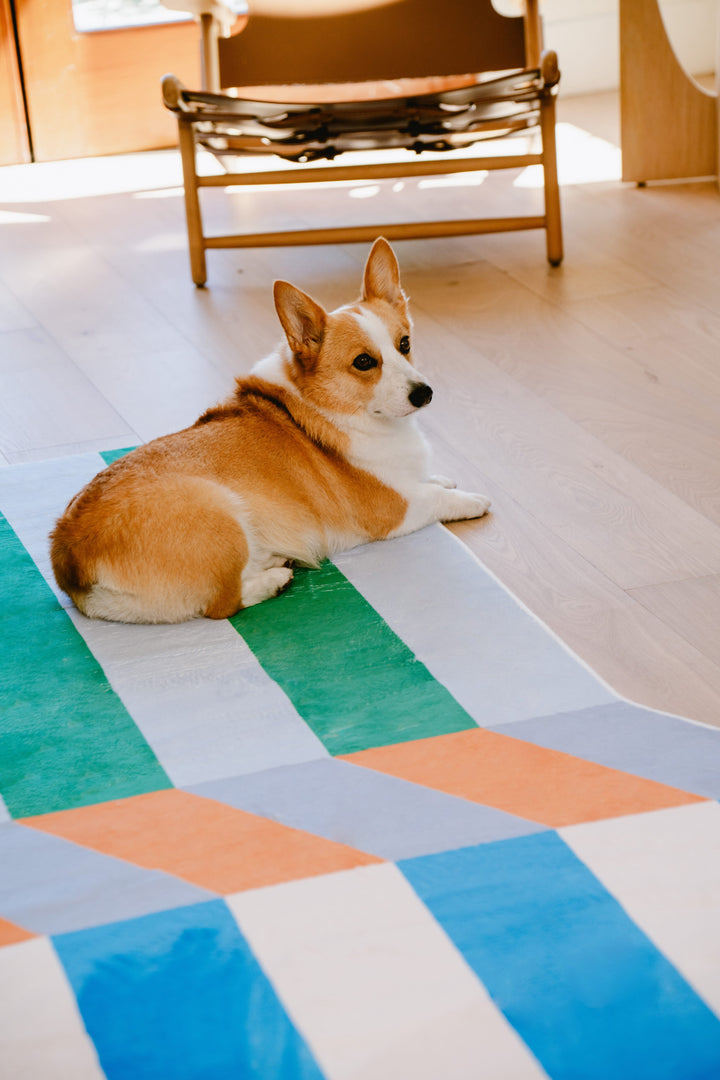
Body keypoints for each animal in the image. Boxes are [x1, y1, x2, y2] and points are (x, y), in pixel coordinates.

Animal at [49, 238, 490, 626]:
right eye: (364, 362)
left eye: (405, 344)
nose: (424, 393)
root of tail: (68, 557)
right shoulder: (394, 510)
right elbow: (436, 498)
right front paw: (472, 500)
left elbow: (432, 480)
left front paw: (443, 478)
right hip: (223, 516)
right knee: (222, 605)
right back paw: (273, 579)